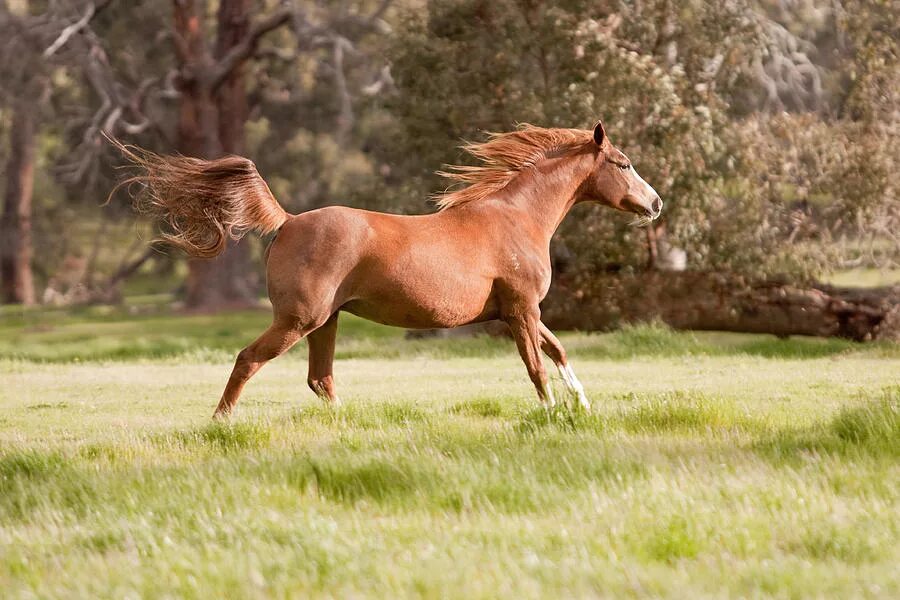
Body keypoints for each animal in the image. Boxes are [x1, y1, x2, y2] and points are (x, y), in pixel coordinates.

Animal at [118, 121, 660, 418]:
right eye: (623, 163)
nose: (655, 204)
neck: (516, 216)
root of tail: (288, 221)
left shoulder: (519, 311)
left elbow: (558, 351)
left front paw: (583, 407)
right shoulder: (522, 310)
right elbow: (535, 366)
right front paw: (551, 415)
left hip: (326, 322)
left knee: (320, 379)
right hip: (299, 320)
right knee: (249, 360)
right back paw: (220, 422)